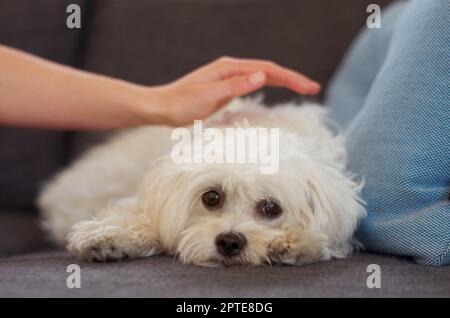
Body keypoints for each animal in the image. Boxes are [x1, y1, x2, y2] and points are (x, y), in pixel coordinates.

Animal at [37, 99, 364, 266]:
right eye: (211, 197)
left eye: (271, 208)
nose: (230, 241)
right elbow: (141, 219)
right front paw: (109, 236)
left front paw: (294, 243)